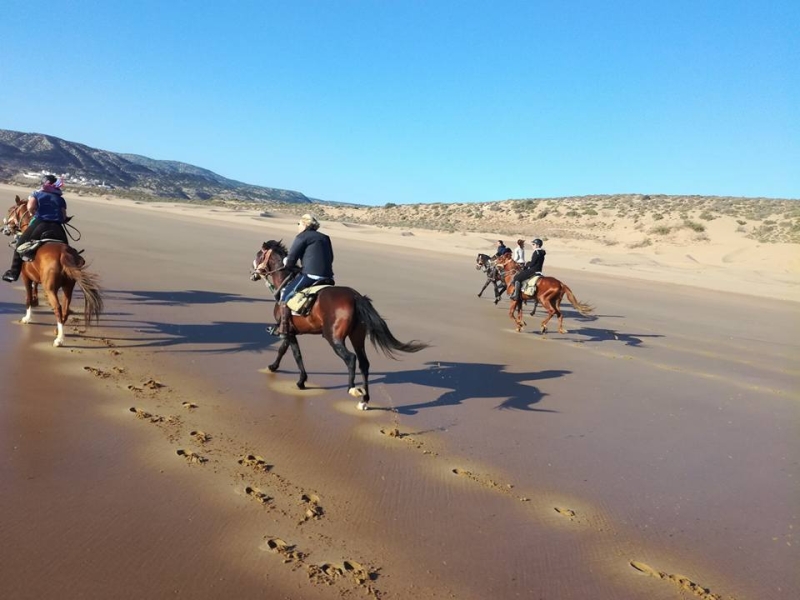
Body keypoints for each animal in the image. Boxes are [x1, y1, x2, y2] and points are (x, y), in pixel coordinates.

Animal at [3, 197, 103, 346]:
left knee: (58, 308)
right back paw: (57, 331)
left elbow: (28, 297)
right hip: (68, 287)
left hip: (50, 288)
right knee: (65, 309)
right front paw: (35, 301)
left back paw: (59, 339)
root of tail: (63, 254)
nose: (4, 228)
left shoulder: (26, 277)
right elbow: (34, 290)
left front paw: (27, 317)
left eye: (11, 210)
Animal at [250, 241, 428, 410]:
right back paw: (364, 400)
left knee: (351, 359)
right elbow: (286, 350)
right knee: (364, 363)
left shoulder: (288, 331)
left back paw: (352, 389)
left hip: (333, 337)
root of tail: (356, 297)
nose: (252, 273)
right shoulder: (291, 332)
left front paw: (298, 379)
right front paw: (278, 368)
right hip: (357, 336)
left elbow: (293, 353)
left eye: (259, 255)